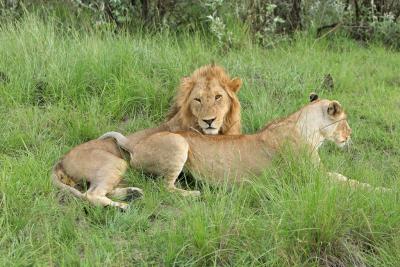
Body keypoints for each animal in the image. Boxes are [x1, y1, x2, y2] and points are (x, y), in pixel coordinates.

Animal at [51, 64, 242, 209]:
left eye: (218, 97)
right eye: (197, 99)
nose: (209, 120)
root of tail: (62, 159)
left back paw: (132, 193)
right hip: (125, 160)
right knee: (92, 194)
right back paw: (124, 207)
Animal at [101, 94, 384, 197]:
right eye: (345, 121)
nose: (350, 135)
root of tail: (135, 145)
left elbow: (344, 177)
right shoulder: (312, 178)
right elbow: (347, 181)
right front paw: (383, 190)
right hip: (178, 142)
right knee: (164, 187)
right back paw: (195, 194)